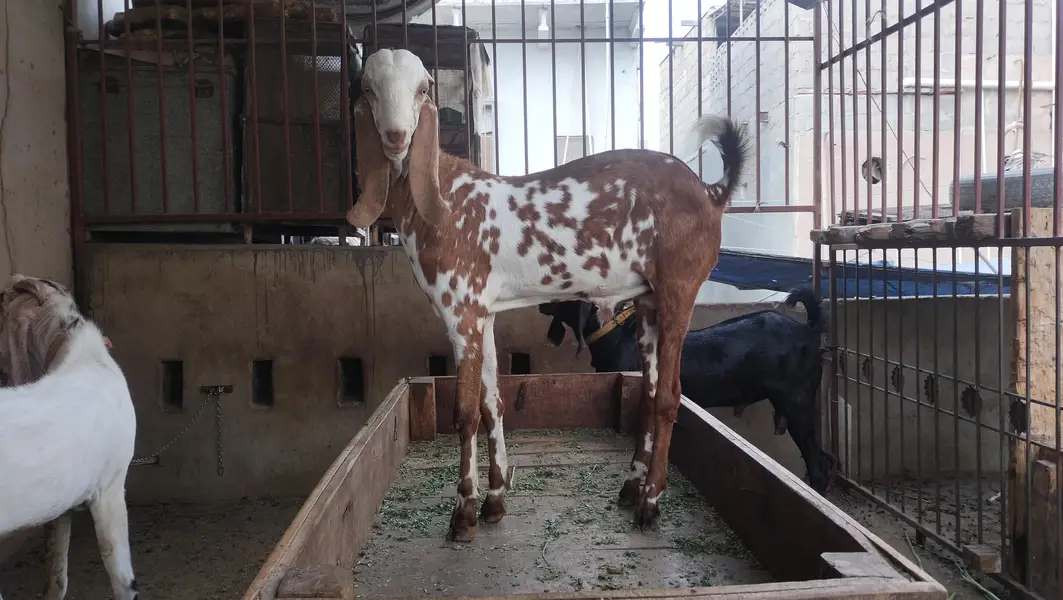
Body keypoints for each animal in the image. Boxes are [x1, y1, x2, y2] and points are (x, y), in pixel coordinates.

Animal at [348, 48, 750, 541]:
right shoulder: (484, 313)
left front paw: (463, 513)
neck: (445, 200)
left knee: (671, 396)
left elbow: (464, 412)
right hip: (649, 300)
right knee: (652, 390)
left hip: (680, 288)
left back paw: (651, 504)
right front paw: (495, 501)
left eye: (423, 88)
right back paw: (631, 487)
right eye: (368, 88)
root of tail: (711, 191)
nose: (396, 136)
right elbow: (492, 402)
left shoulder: (461, 312)